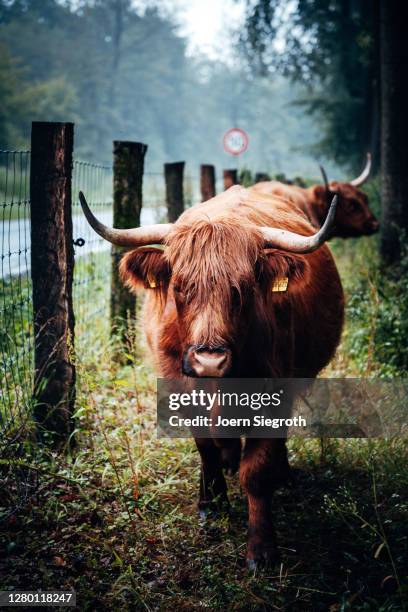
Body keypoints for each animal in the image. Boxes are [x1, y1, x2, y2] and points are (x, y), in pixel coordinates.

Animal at [77, 186, 344, 568]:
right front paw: (212, 502)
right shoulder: (181, 386)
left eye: (242, 288)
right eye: (179, 287)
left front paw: (262, 548)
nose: (209, 361)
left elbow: (257, 470)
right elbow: (205, 446)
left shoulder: (276, 393)